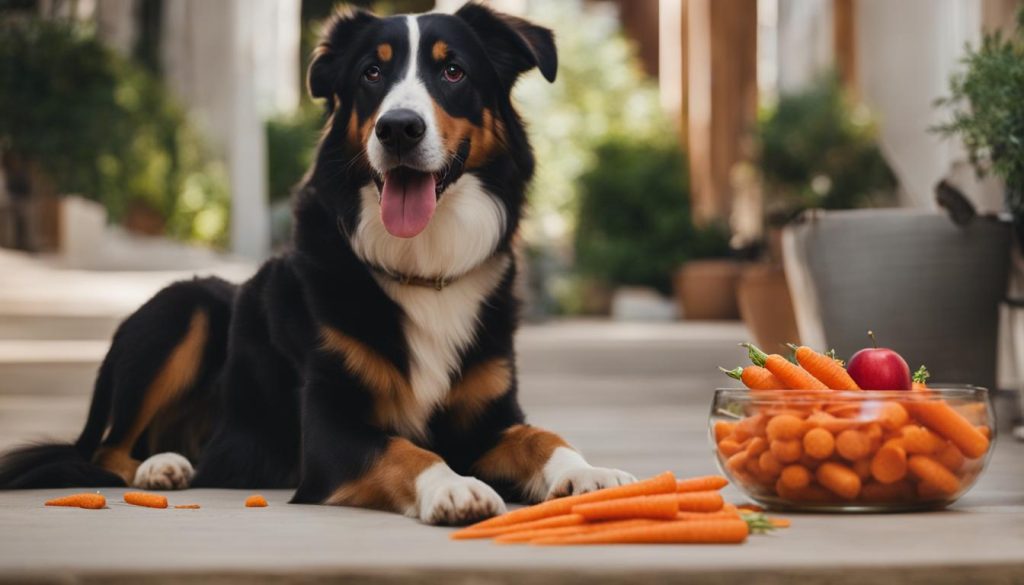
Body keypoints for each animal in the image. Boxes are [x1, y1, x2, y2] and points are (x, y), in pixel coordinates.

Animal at [0, 2, 634, 524]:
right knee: (107, 448)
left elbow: (542, 437)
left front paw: (589, 473)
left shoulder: (489, 419)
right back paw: (162, 467)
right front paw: (453, 487)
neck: (422, 268)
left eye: (453, 71)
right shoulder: (331, 428)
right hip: (185, 306)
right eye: (371, 74)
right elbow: (405, 449)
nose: (399, 129)